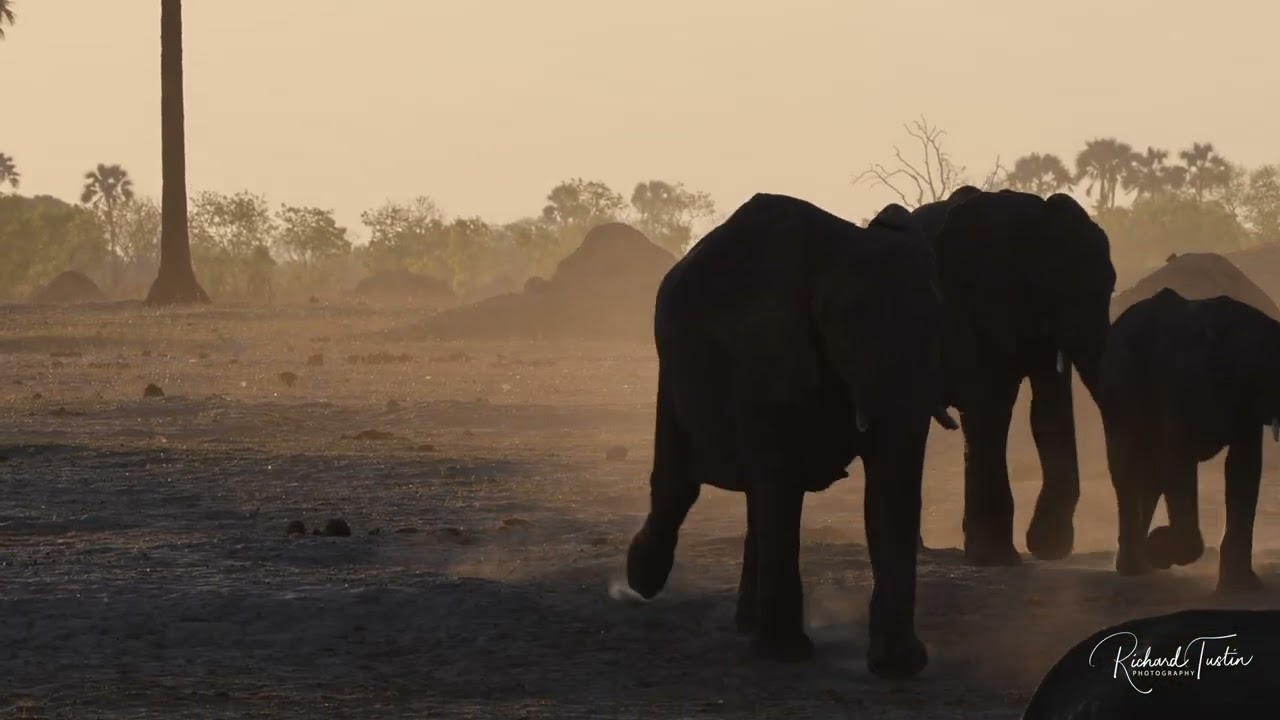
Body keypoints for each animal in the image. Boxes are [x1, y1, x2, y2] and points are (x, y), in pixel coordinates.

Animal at [622, 193, 958, 679]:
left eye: (939, 330)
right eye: (846, 331)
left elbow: (884, 487)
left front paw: (899, 666)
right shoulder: (767, 355)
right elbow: (781, 483)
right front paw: (787, 654)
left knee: (749, 498)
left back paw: (746, 623)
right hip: (671, 372)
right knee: (680, 485)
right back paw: (641, 580)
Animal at [910, 187, 1116, 566]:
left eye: (1110, 288)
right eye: (1048, 289)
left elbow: (1048, 410)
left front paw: (1049, 548)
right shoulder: (962, 302)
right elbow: (988, 407)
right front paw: (996, 557)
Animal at [1098, 288, 1279, 592]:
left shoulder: (1246, 406)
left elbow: (1243, 468)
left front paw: (1241, 586)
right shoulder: (1180, 386)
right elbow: (1175, 460)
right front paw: (1158, 548)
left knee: (1150, 476)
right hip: (1116, 390)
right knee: (1129, 468)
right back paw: (1136, 566)